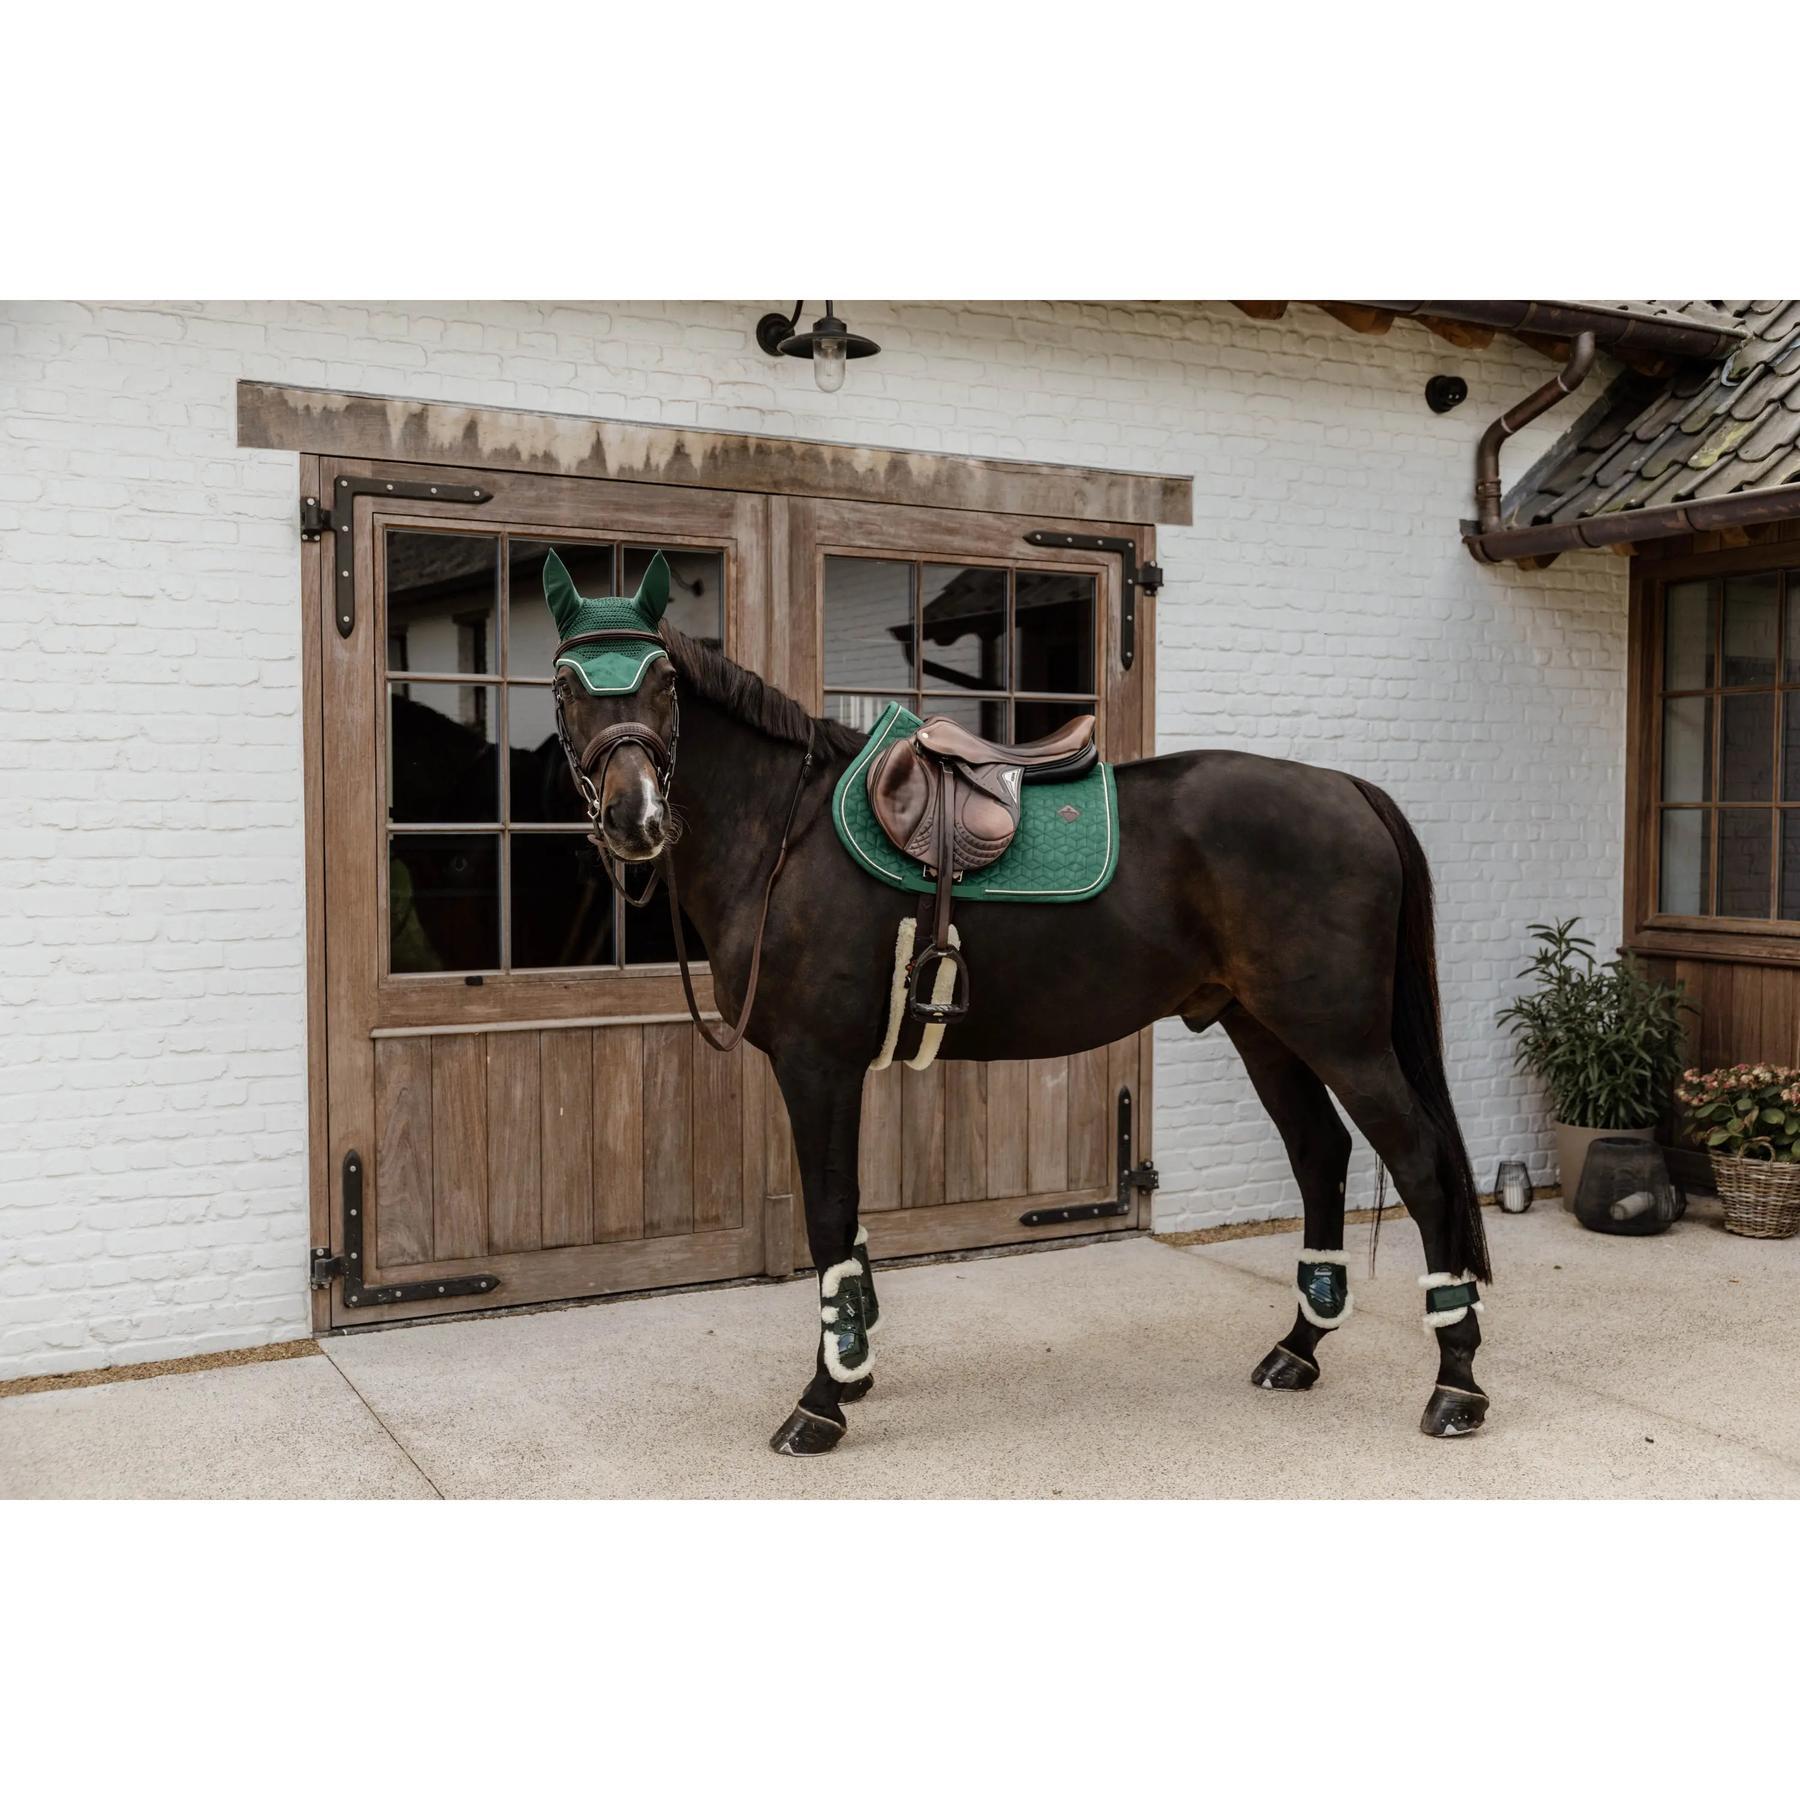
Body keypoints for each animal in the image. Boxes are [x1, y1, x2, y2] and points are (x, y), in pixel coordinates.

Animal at [548, 557, 1493, 1457]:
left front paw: (822, 1400)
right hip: (1263, 1028)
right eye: (563, 686)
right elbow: (844, 1222)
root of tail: (1345, 787)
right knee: (1321, 1154)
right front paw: (854, 1371)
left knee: (1418, 1160)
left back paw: (1455, 1384)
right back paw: (1299, 1348)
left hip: (1342, 1037)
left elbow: (827, 1217)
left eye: (664, 682)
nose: (636, 818)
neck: (787, 835)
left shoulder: (819, 1064)